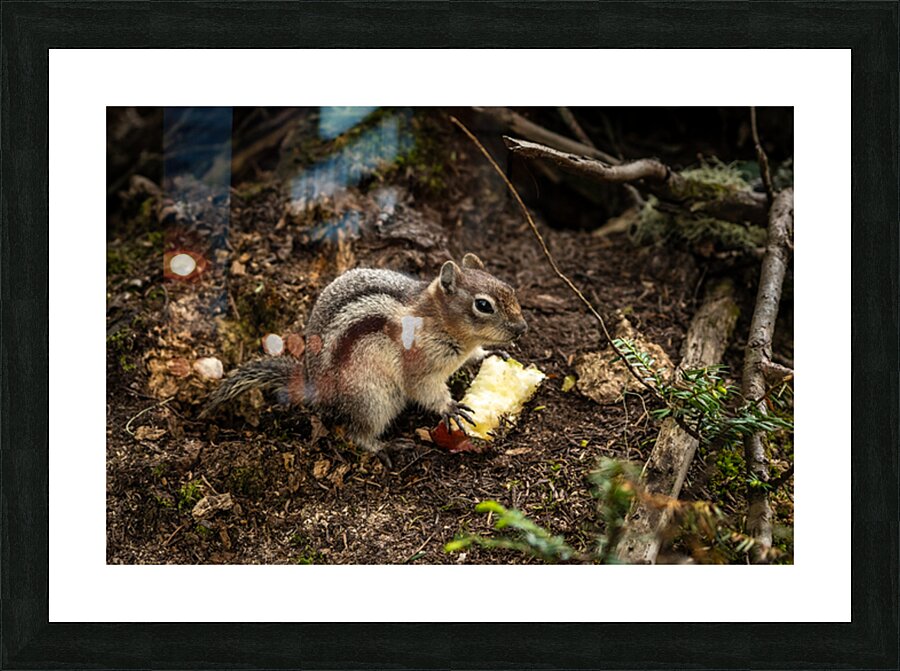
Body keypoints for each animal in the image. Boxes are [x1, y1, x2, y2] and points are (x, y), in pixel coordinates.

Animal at [201, 253, 527, 457]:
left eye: (510, 289)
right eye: (483, 305)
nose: (522, 328)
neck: (438, 320)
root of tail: (315, 388)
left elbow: (476, 356)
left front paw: (488, 354)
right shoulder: (420, 366)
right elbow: (424, 389)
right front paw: (450, 407)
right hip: (372, 399)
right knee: (357, 434)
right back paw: (386, 447)